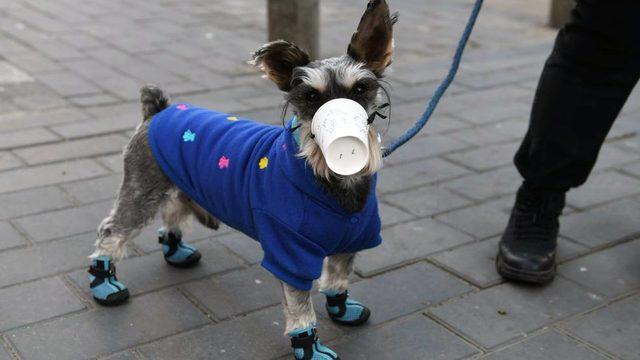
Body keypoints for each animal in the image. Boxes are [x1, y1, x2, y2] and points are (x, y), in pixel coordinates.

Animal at [85, 1, 396, 358]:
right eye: (311, 98)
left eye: (360, 89)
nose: (344, 144)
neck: (334, 187)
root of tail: (158, 110)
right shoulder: (289, 254)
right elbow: (300, 308)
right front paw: (310, 347)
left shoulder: (351, 242)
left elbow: (337, 280)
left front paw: (342, 309)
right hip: (141, 188)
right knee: (112, 231)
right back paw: (104, 284)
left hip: (175, 182)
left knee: (173, 211)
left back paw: (175, 251)